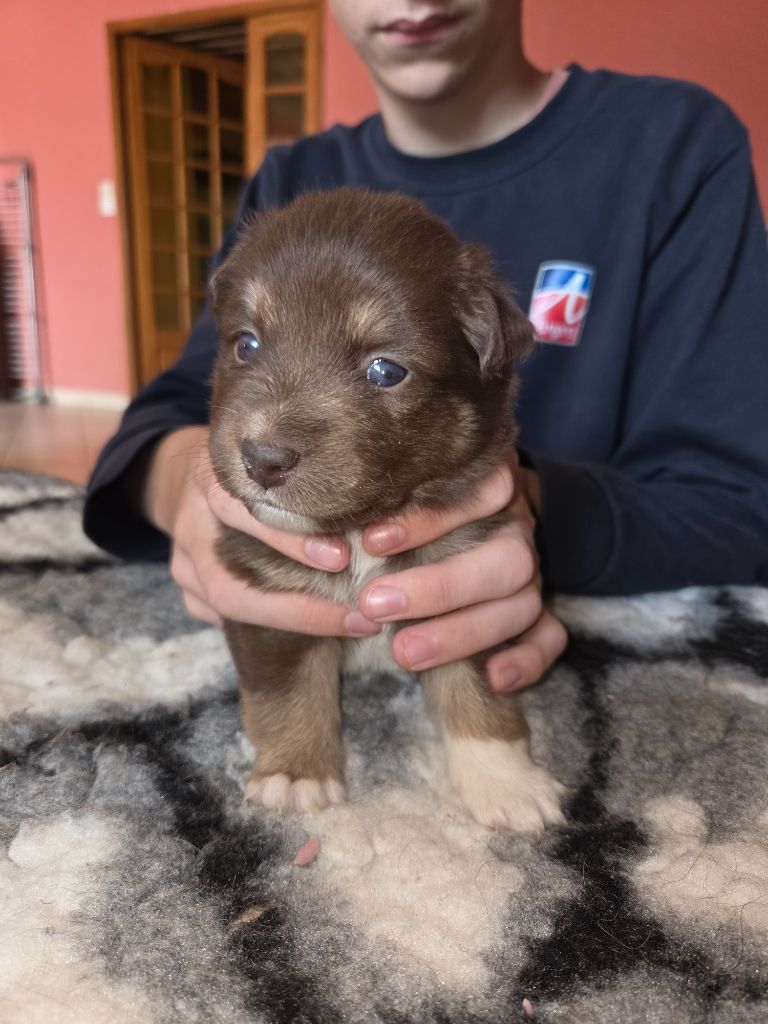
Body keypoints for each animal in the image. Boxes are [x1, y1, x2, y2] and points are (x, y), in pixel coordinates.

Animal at [208, 188, 565, 832]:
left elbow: (478, 689)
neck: (357, 531)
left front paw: (508, 782)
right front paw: (296, 775)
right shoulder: (269, 599)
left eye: (385, 370)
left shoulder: (471, 588)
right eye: (246, 343)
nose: (263, 459)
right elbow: (289, 693)